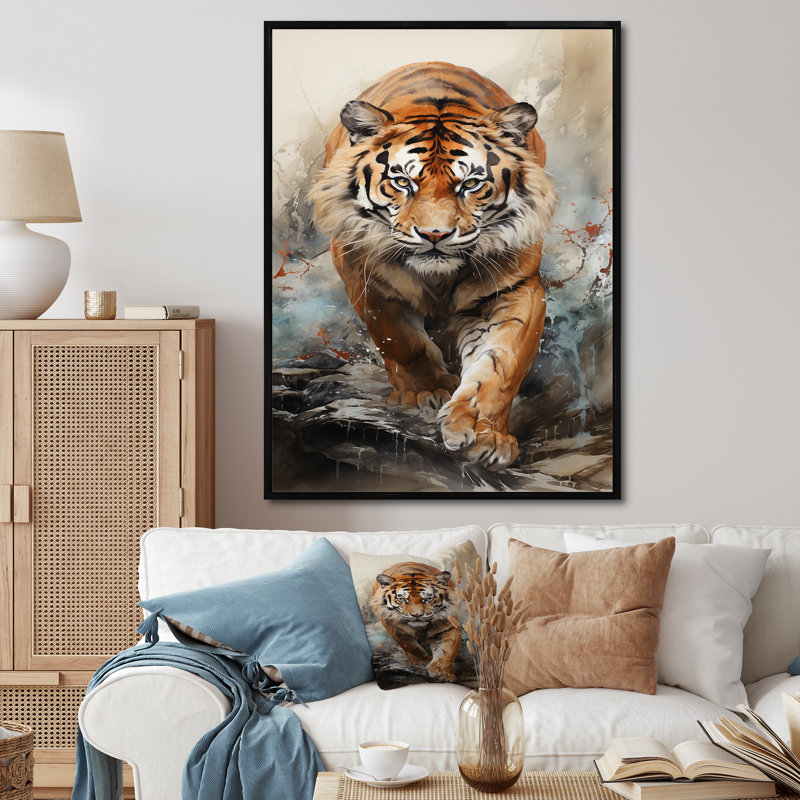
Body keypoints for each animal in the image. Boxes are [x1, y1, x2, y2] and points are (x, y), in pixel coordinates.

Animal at [311, 61, 557, 470]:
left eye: (470, 184)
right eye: (401, 181)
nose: (434, 234)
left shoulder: (518, 288)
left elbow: (500, 364)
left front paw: (481, 433)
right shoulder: (367, 280)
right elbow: (402, 342)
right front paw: (428, 393)